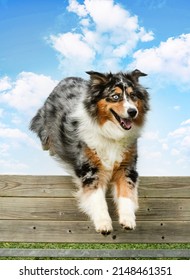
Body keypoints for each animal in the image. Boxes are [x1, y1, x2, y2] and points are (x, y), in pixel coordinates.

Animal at [29, 69, 150, 234]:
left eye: (133, 96)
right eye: (115, 96)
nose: (133, 111)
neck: (112, 133)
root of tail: (66, 79)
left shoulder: (126, 167)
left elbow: (126, 193)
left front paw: (128, 220)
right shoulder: (90, 169)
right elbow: (97, 198)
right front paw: (104, 224)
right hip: (45, 128)